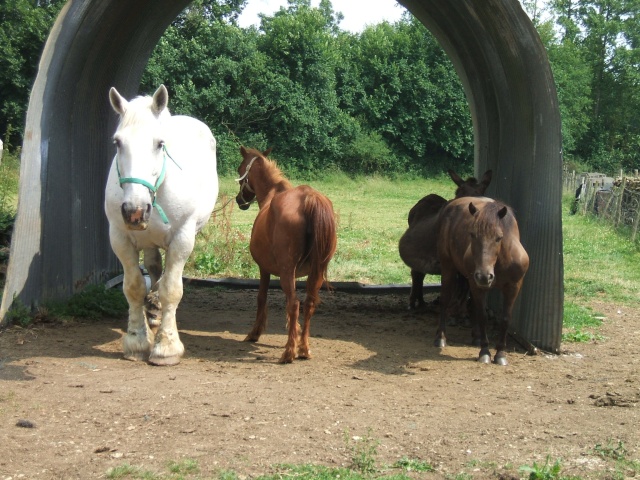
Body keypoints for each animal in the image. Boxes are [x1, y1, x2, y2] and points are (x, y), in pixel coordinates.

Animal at [103, 85, 218, 364]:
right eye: (117, 142)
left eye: (159, 144)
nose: (134, 211)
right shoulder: (120, 237)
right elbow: (134, 287)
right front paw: (136, 341)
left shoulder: (182, 239)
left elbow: (172, 289)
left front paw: (167, 347)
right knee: (154, 266)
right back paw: (153, 310)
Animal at [234, 146, 336, 364]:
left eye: (240, 171)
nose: (240, 200)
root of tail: (308, 198)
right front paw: (294, 333)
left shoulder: (264, 269)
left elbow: (261, 298)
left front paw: (255, 333)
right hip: (317, 271)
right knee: (308, 303)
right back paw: (303, 349)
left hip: (287, 270)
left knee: (294, 304)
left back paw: (289, 353)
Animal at [398, 170, 492, 312]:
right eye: (458, 192)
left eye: (482, 192)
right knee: (418, 273)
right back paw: (416, 302)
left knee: (419, 272)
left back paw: (420, 301)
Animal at [436, 197, 528, 366]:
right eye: (472, 235)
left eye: (499, 237)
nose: (484, 276)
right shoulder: (477, 285)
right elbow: (482, 316)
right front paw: (485, 352)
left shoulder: (513, 287)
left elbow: (505, 319)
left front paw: (500, 354)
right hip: (448, 268)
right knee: (445, 300)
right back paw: (440, 337)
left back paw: (476, 337)